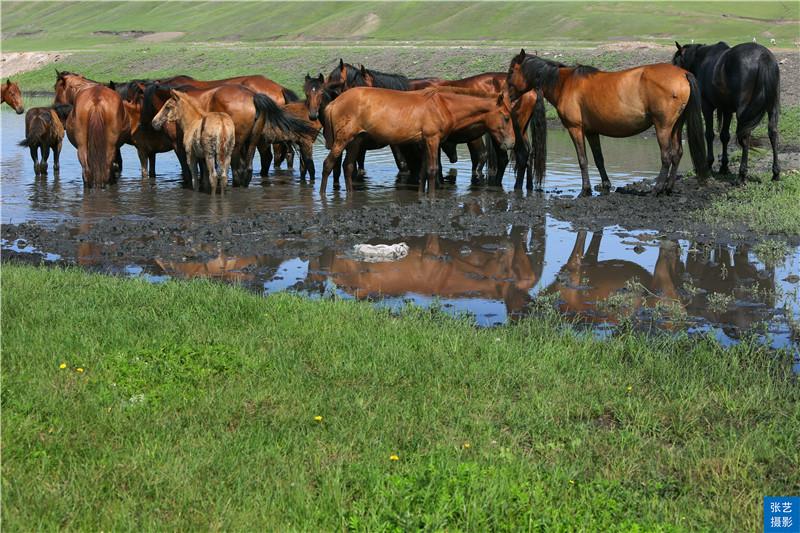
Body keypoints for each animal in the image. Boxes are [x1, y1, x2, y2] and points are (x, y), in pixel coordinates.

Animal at [322, 86, 516, 194]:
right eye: (506, 117)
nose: (512, 143)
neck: (443, 105)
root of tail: (334, 102)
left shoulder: (423, 143)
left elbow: (423, 172)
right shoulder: (432, 140)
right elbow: (432, 170)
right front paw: (431, 198)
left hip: (356, 140)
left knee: (347, 167)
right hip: (342, 140)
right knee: (328, 164)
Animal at [506, 49, 708, 195]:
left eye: (511, 71)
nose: (506, 97)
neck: (564, 83)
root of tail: (683, 74)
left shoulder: (575, 128)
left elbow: (582, 159)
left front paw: (585, 189)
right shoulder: (591, 131)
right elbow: (598, 159)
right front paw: (605, 184)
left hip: (663, 127)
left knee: (666, 156)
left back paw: (657, 189)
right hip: (675, 126)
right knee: (677, 154)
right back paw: (668, 187)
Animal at [672, 41, 780, 183]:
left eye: (675, 63)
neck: (703, 59)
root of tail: (763, 57)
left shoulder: (707, 107)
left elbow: (709, 134)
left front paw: (709, 164)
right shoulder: (727, 110)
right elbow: (724, 136)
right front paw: (724, 166)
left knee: (745, 136)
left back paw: (741, 174)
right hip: (772, 107)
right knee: (773, 133)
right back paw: (776, 173)